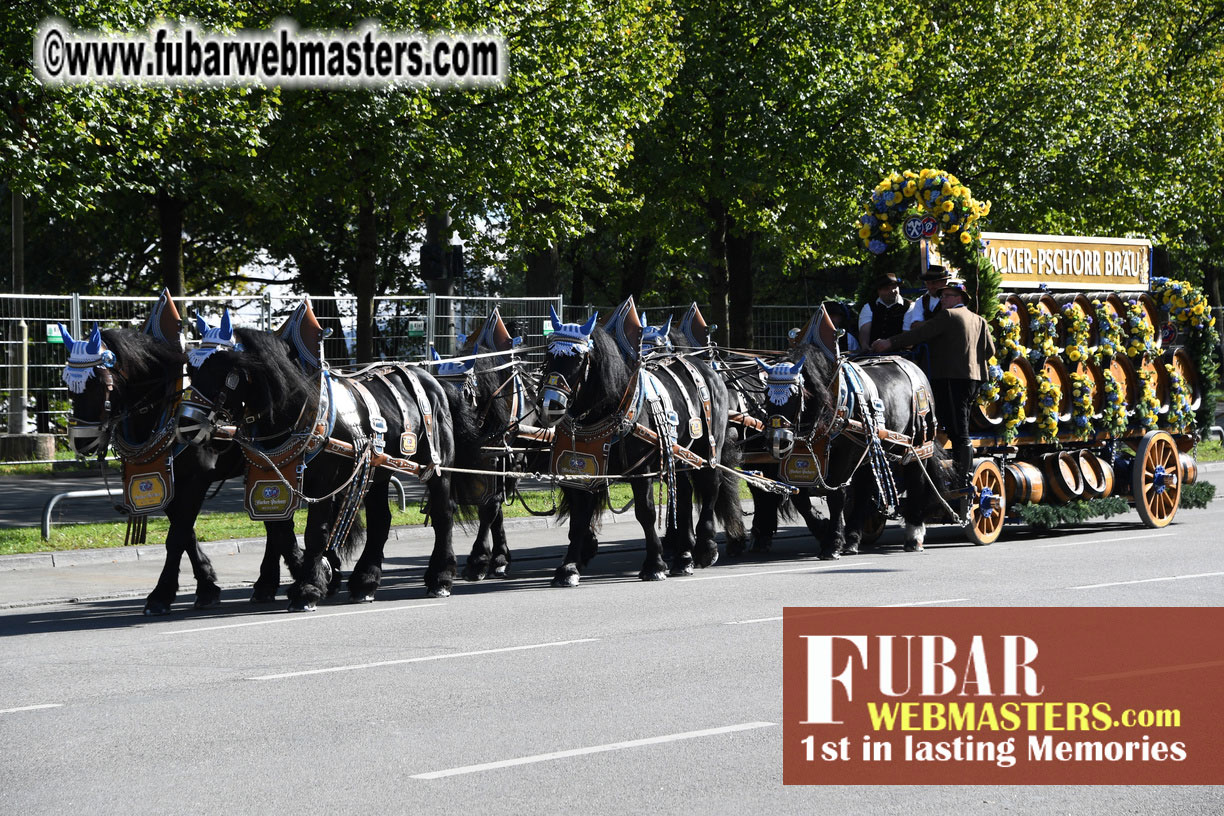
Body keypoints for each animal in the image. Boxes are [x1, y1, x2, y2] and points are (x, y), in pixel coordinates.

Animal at [60, 322, 302, 616]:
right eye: (68, 384)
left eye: (99, 385)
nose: (80, 441)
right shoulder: (168, 482)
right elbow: (185, 532)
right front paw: (207, 585)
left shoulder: (197, 479)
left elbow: (177, 536)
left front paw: (161, 595)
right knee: (275, 524)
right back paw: (267, 583)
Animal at [178, 322, 482, 606]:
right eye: (190, 369)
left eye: (223, 370)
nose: (186, 424)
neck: (297, 411)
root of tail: (434, 381)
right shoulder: (273, 477)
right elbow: (280, 532)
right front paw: (315, 574)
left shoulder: (322, 484)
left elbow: (315, 533)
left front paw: (308, 588)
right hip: (379, 471)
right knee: (381, 519)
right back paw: (364, 582)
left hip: (436, 467)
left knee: (443, 513)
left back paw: (440, 578)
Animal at [538, 308, 744, 587]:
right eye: (549, 355)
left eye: (579, 359)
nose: (549, 405)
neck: (609, 409)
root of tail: (708, 370)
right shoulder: (584, 471)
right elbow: (579, 518)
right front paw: (568, 568)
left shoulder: (641, 470)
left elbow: (645, 513)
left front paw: (654, 564)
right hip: (678, 457)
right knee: (684, 496)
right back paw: (683, 558)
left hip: (708, 450)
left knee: (711, 488)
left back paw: (705, 548)